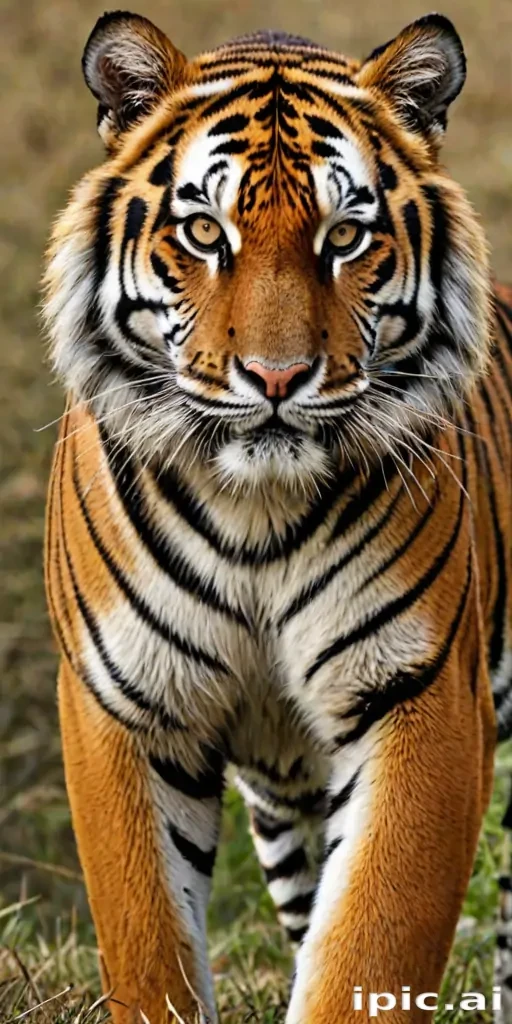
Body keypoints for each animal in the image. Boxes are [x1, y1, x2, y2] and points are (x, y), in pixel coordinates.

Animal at [42, 8, 512, 1024]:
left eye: (346, 236)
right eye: (203, 231)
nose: (276, 378)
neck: (255, 510)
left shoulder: (420, 698)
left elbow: (370, 946)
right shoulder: (122, 703)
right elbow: (150, 943)